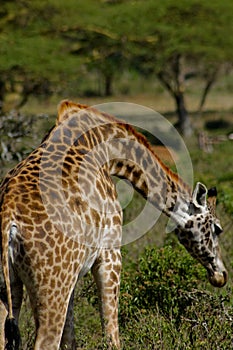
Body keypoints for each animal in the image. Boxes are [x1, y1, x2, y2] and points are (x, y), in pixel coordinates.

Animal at [0, 100, 226, 348]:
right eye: (217, 229)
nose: (221, 276)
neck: (108, 149)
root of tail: (8, 217)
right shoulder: (111, 253)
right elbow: (111, 334)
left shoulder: (74, 274)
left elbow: (71, 337)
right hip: (51, 286)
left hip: (12, 286)